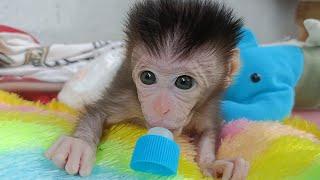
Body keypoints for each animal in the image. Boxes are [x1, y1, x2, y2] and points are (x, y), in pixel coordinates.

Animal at [45, 0, 250, 179]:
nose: (161, 108)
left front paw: (212, 164)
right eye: (147, 77)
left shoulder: (208, 105)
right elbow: (98, 112)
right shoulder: (129, 99)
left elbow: (210, 130)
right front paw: (79, 144)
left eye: (184, 82)